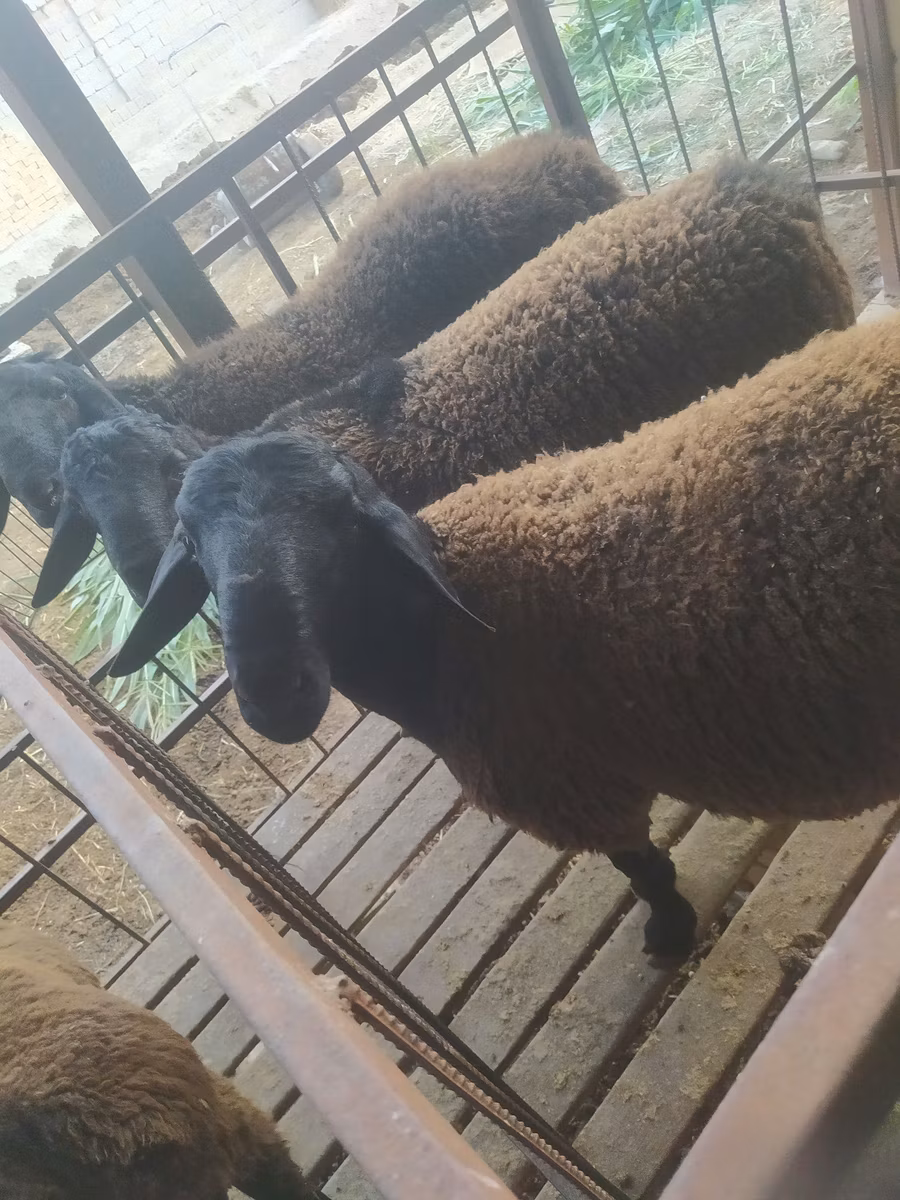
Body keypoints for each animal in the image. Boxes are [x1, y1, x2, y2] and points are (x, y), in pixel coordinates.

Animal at [110, 312, 900, 963]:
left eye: (339, 523)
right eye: (191, 541)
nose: (274, 690)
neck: (441, 635)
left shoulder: (573, 787)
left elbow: (642, 867)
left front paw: (669, 932)